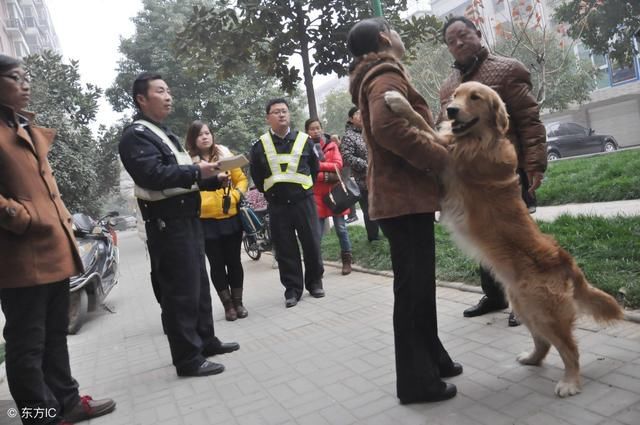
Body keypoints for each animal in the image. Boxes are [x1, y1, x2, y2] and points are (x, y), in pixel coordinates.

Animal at [382, 81, 624, 396]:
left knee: (569, 349)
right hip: (524, 306)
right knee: (544, 343)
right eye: (455, 95)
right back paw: (532, 358)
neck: (482, 138)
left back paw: (570, 382)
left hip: (544, 312)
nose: (451, 110)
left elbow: (423, 125)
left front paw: (399, 102)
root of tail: (566, 261)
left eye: (475, 97)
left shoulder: (446, 155)